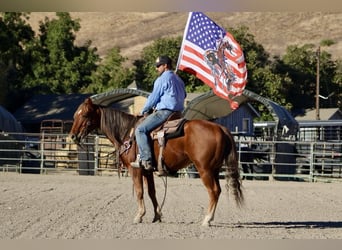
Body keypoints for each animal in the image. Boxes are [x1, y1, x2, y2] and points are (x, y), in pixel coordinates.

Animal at [69, 97, 243, 227]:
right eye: (75, 115)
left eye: (85, 115)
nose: (72, 136)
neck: (127, 133)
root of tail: (220, 128)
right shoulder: (147, 171)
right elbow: (151, 192)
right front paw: (157, 215)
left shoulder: (135, 170)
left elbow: (139, 192)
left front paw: (139, 216)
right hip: (214, 169)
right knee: (218, 190)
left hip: (205, 169)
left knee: (213, 191)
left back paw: (207, 219)